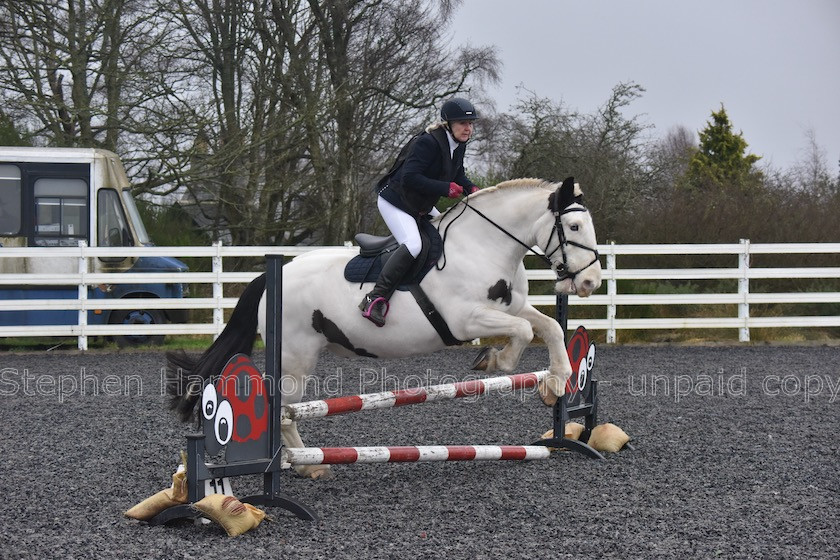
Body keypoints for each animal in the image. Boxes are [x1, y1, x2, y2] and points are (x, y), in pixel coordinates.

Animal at [166, 177, 596, 480]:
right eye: (574, 226)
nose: (590, 283)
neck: (484, 245)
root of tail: (273, 277)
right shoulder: (466, 319)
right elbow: (521, 333)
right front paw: (495, 361)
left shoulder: (514, 306)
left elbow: (550, 328)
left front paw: (555, 383)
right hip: (295, 357)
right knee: (285, 409)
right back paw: (306, 464)